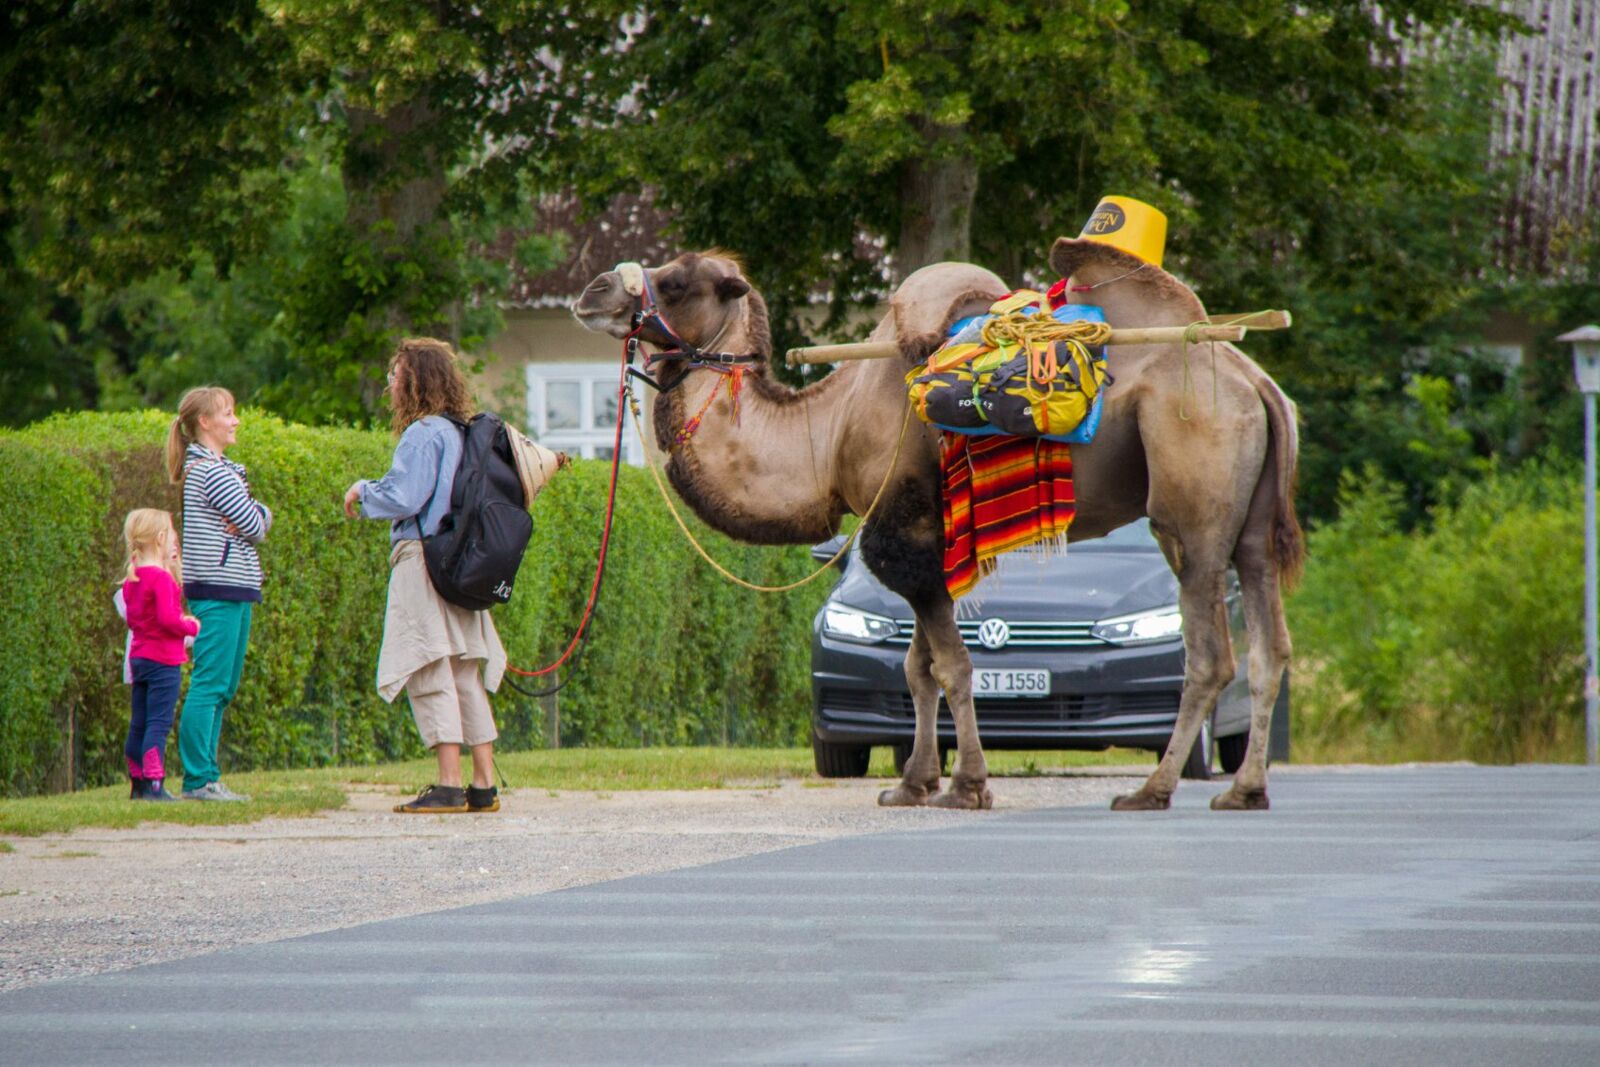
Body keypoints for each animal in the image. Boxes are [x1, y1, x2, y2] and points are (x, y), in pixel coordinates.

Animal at [572, 239, 1299, 809]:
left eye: (675, 280)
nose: (590, 291)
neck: (829, 429)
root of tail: (1258, 384)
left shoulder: (906, 530)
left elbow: (950, 664)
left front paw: (968, 786)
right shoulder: (928, 540)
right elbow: (915, 666)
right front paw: (913, 783)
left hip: (1192, 506)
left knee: (1210, 653)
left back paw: (1152, 790)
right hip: (1253, 521)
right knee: (1269, 644)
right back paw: (1245, 790)